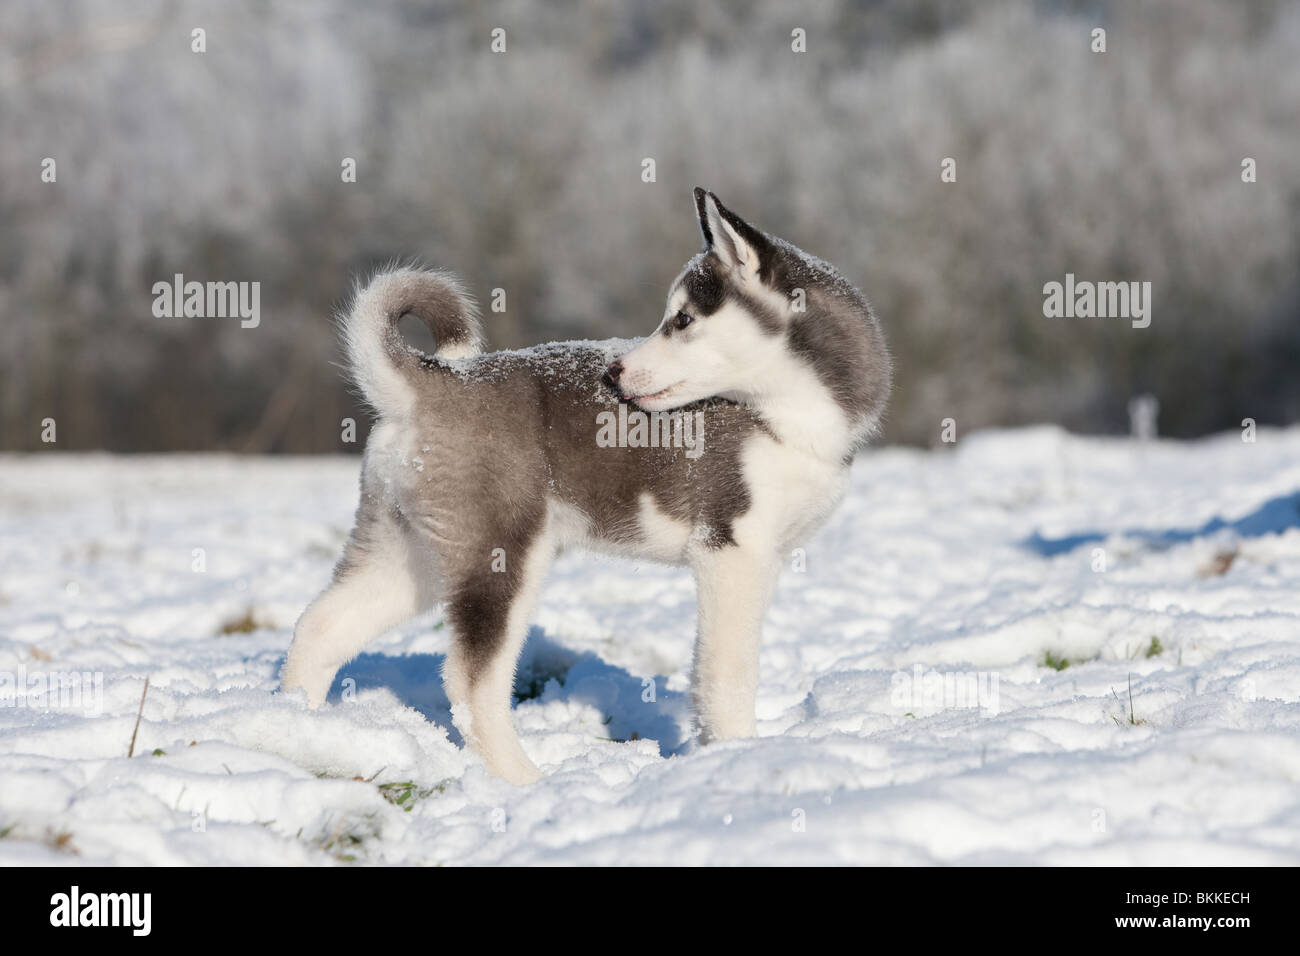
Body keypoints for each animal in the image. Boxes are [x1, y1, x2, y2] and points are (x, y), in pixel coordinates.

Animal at [282, 188, 894, 785]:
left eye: (683, 320)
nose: (614, 374)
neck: (784, 417)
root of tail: (432, 382)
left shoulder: (762, 559)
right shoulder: (732, 550)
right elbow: (728, 674)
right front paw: (739, 757)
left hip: (413, 553)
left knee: (320, 626)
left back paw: (299, 733)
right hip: (500, 558)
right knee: (469, 679)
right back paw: (523, 779)